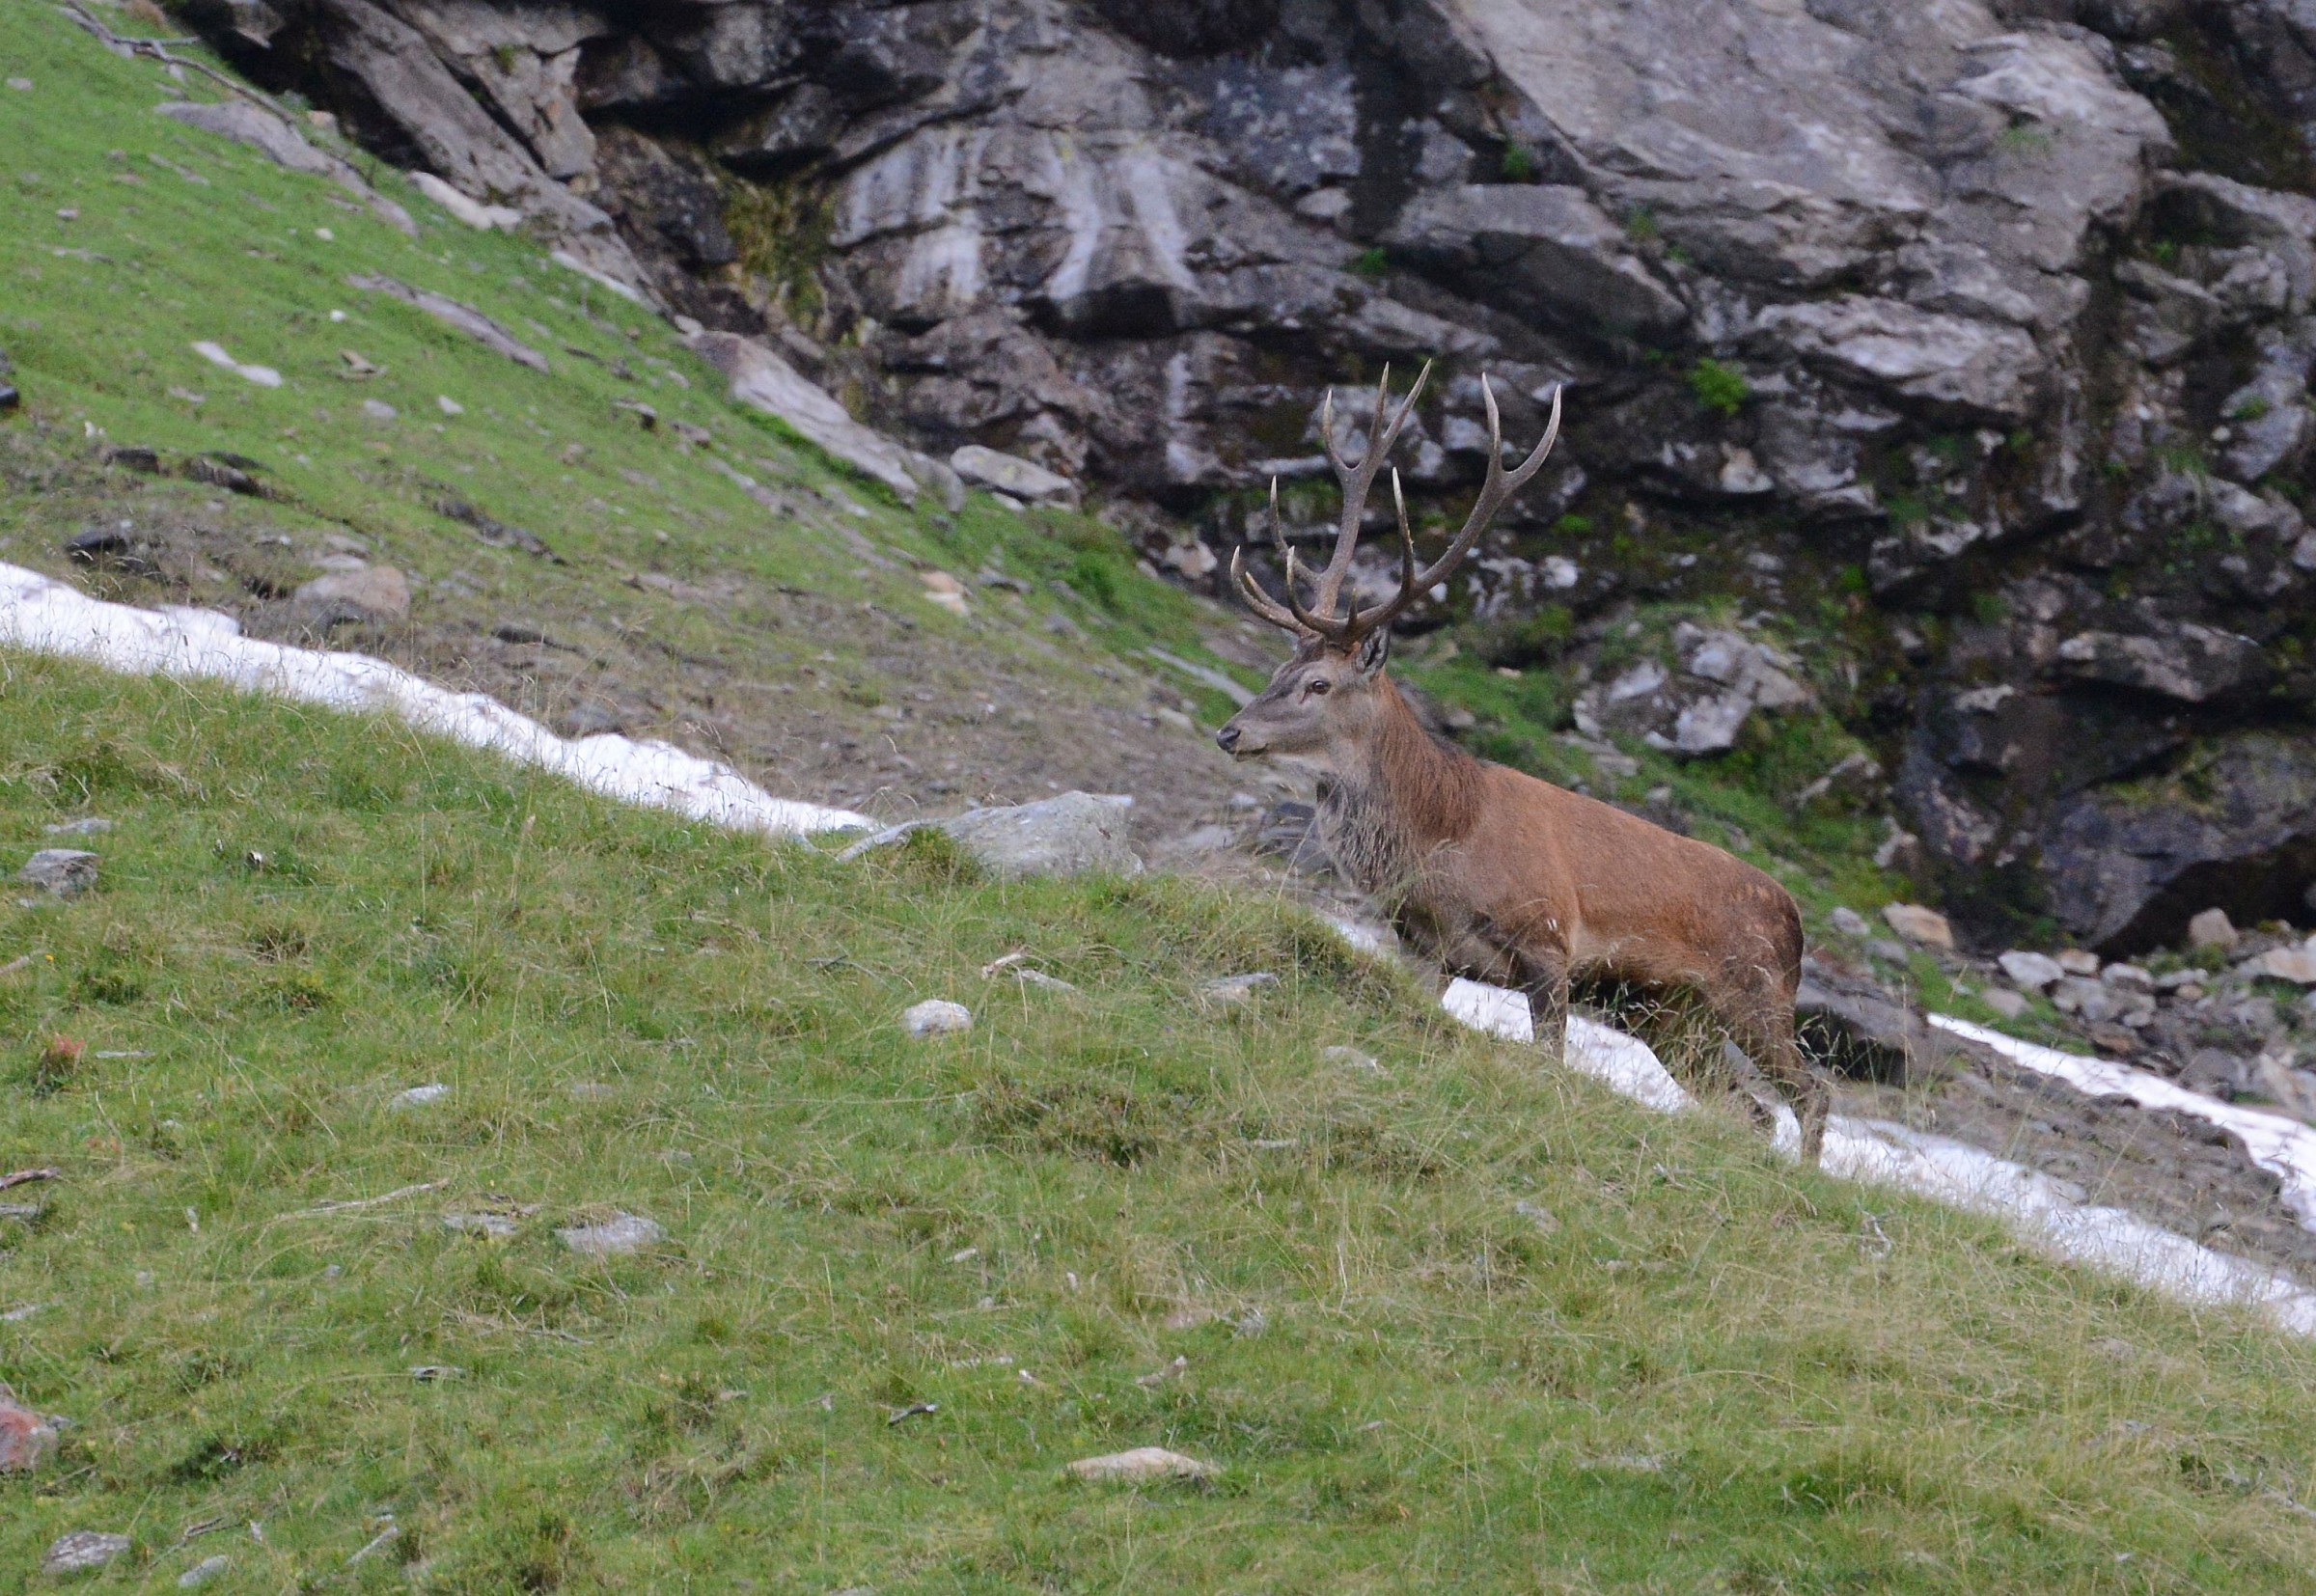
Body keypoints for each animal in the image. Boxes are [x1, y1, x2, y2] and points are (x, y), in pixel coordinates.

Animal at [1214, 365, 1830, 1166]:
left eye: (1318, 684)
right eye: (1277, 670)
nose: (1231, 733)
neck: (1445, 836)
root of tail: (1795, 916)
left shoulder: (1549, 942)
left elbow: (1551, 1062)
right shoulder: (1426, 948)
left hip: (1756, 995)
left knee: (1812, 1093)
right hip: (1670, 1017)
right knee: (1751, 1111)